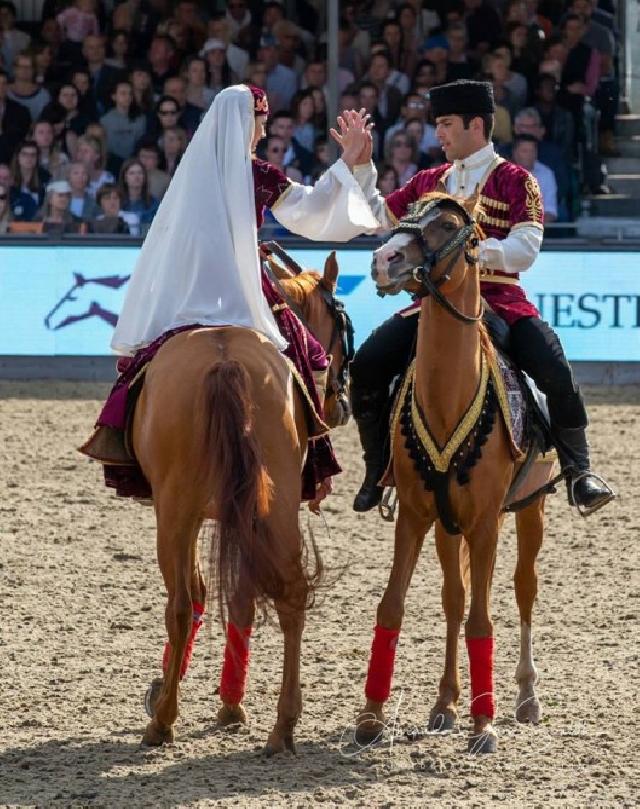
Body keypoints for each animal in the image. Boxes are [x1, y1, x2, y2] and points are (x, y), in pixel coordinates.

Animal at [136, 252, 350, 752]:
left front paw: (167, 691)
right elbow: (242, 599)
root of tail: (225, 362)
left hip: (175, 511)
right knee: (291, 595)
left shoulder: (187, 514)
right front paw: (231, 705)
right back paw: (283, 726)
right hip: (276, 506)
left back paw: (163, 720)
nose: (340, 405)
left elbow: (199, 594)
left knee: (180, 604)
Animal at [360, 193, 552, 756]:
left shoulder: (487, 523)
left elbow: (482, 618)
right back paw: (446, 703)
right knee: (454, 598)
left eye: (448, 224)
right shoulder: (416, 515)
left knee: (523, 588)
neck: (449, 396)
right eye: (407, 211)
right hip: (449, 526)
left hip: (531, 508)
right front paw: (372, 717)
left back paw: (525, 697)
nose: (385, 260)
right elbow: (394, 607)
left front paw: (484, 723)